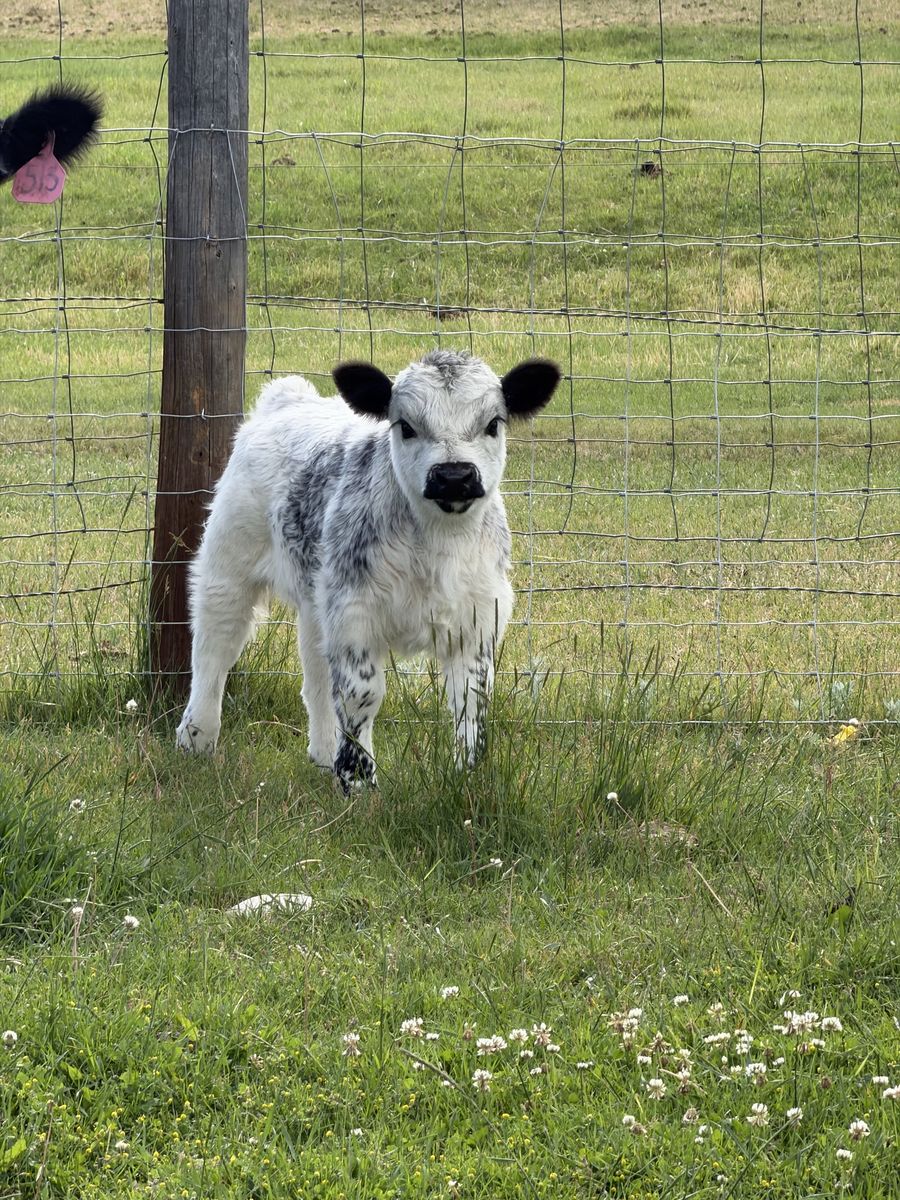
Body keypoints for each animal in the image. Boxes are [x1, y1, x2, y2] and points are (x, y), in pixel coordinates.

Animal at [176, 350, 560, 791]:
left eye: (493, 424)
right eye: (406, 426)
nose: (454, 476)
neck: (438, 544)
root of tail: (290, 397)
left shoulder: (477, 619)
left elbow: (470, 700)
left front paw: (468, 775)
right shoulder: (354, 615)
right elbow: (361, 694)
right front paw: (358, 780)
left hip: (317, 599)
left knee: (316, 673)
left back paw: (323, 754)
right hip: (228, 561)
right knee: (214, 647)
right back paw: (196, 738)